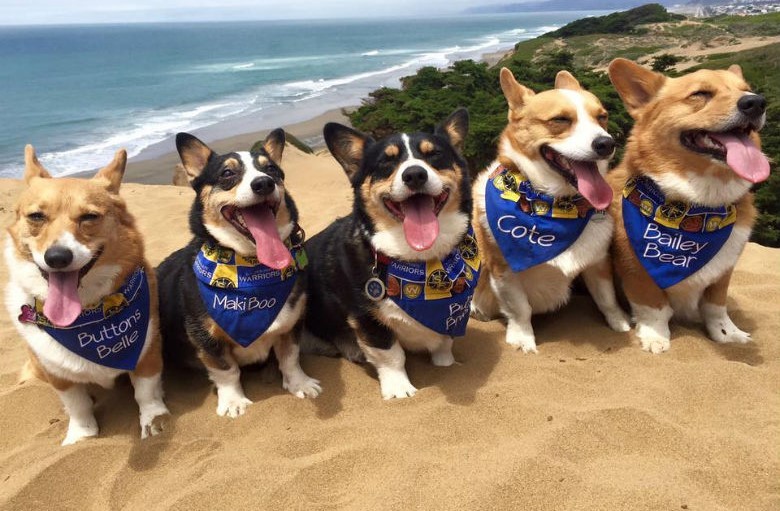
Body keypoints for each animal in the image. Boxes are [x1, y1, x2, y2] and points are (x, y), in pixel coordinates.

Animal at [4, 145, 169, 444]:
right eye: (36, 217)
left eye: (89, 217)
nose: (57, 257)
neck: (90, 315)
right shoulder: (57, 375)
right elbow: (76, 405)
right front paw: (82, 435)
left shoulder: (148, 350)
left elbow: (146, 391)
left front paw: (154, 419)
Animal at [158, 130, 320, 418]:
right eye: (227, 173)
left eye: (272, 170)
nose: (264, 183)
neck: (249, 267)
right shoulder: (205, 338)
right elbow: (226, 371)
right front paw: (233, 402)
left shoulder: (292, 325)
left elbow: (290, 358)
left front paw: (299, 384)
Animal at [302, 110, 478, 402]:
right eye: (386, 161)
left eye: (434, 154)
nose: (415, 174)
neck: (420, 261)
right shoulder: (367, 319)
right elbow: (391, 356)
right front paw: (398, 389)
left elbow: (444, 341)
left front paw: (446, 362)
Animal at [470, 68, 628, 354]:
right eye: (560, 120)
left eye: (602, 117)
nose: (607, 143)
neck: (554, 206)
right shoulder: (504, 273)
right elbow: (520, 309)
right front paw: (523, 339)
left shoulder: (598, 262)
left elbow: (607, 298)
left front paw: (619, 322)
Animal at [604, 58, 768, 354]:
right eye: (700, 94)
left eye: (746, 89)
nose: (756, 102)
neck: (696, 206)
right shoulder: (636, 271)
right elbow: (653, 308)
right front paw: (655, 337)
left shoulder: (723, 272)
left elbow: (716, 307)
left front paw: (727, 334)